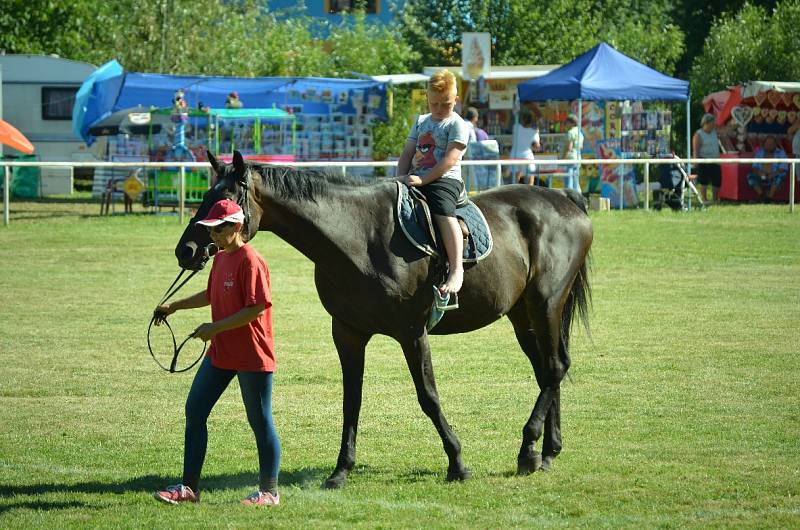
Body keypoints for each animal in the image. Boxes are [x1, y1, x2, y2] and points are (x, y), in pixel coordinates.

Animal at [175, 152, 592, 486]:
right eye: (206, 197)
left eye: (225, 201)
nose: (187, 249)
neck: (359, 238)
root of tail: (564, 199)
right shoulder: (348, 333)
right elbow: (351, 400)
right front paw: (341, 470)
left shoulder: (412, 333)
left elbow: (428, 397)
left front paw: (457, 463)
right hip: (522, 315)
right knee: (547, 370)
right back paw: (546, 451)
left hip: (546, 304)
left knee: (555, 367)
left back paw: (528, 449)